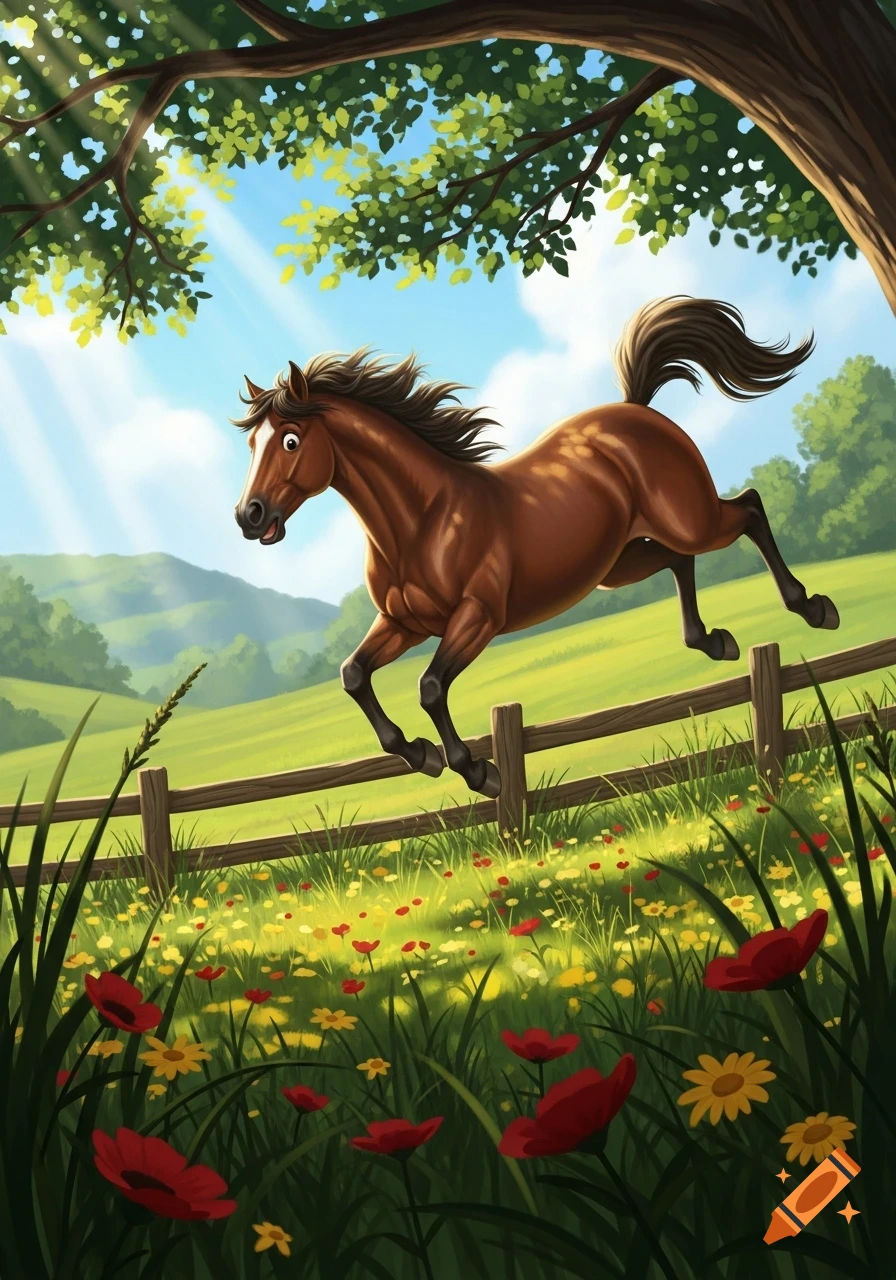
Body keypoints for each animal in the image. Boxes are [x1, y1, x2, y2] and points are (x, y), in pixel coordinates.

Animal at [233, 295, 838, 800]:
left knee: (751, 510)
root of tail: (636, 410)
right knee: (678, 558)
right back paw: (712, 641)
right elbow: (353, 675)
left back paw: (813, 608)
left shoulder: (477, 618)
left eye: (291, 440)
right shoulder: (402, 623)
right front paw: (419, 755)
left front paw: (478, 771)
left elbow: (430, 686)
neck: (424, 521)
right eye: (252, 443)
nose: (248, 516)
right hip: (617, 563)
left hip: (691, 519)